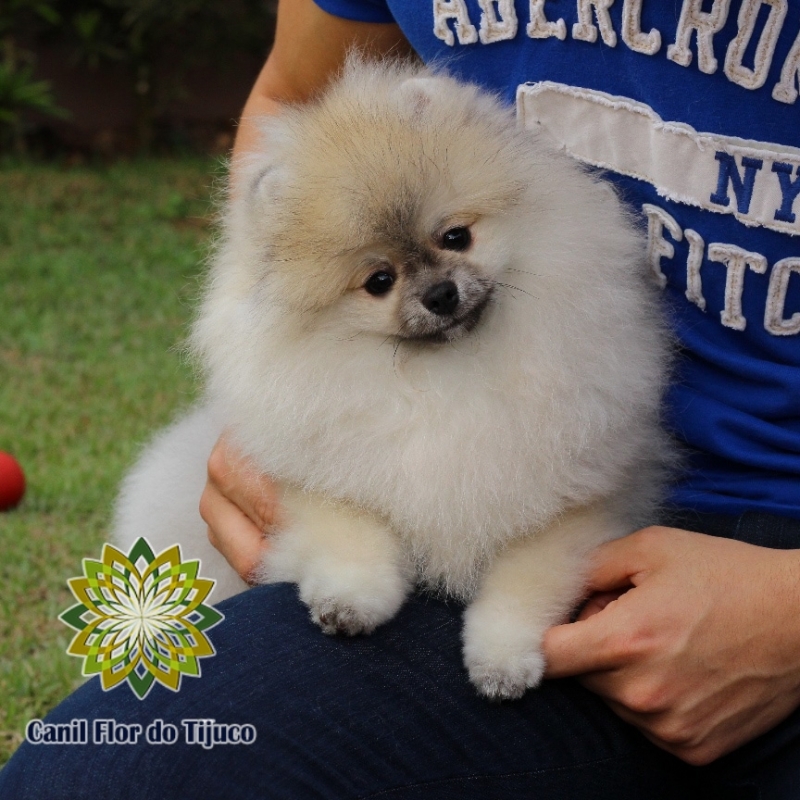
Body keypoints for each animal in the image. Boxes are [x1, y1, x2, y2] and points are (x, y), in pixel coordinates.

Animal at [115, 57, 672, 700]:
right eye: (378, 281)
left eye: (456, 236)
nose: (440, 293)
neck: (441, 377)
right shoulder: (321, 477)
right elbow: (351, 531)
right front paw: (349, 602)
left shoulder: (577, 505)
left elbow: (525, 583)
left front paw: (502, 660)